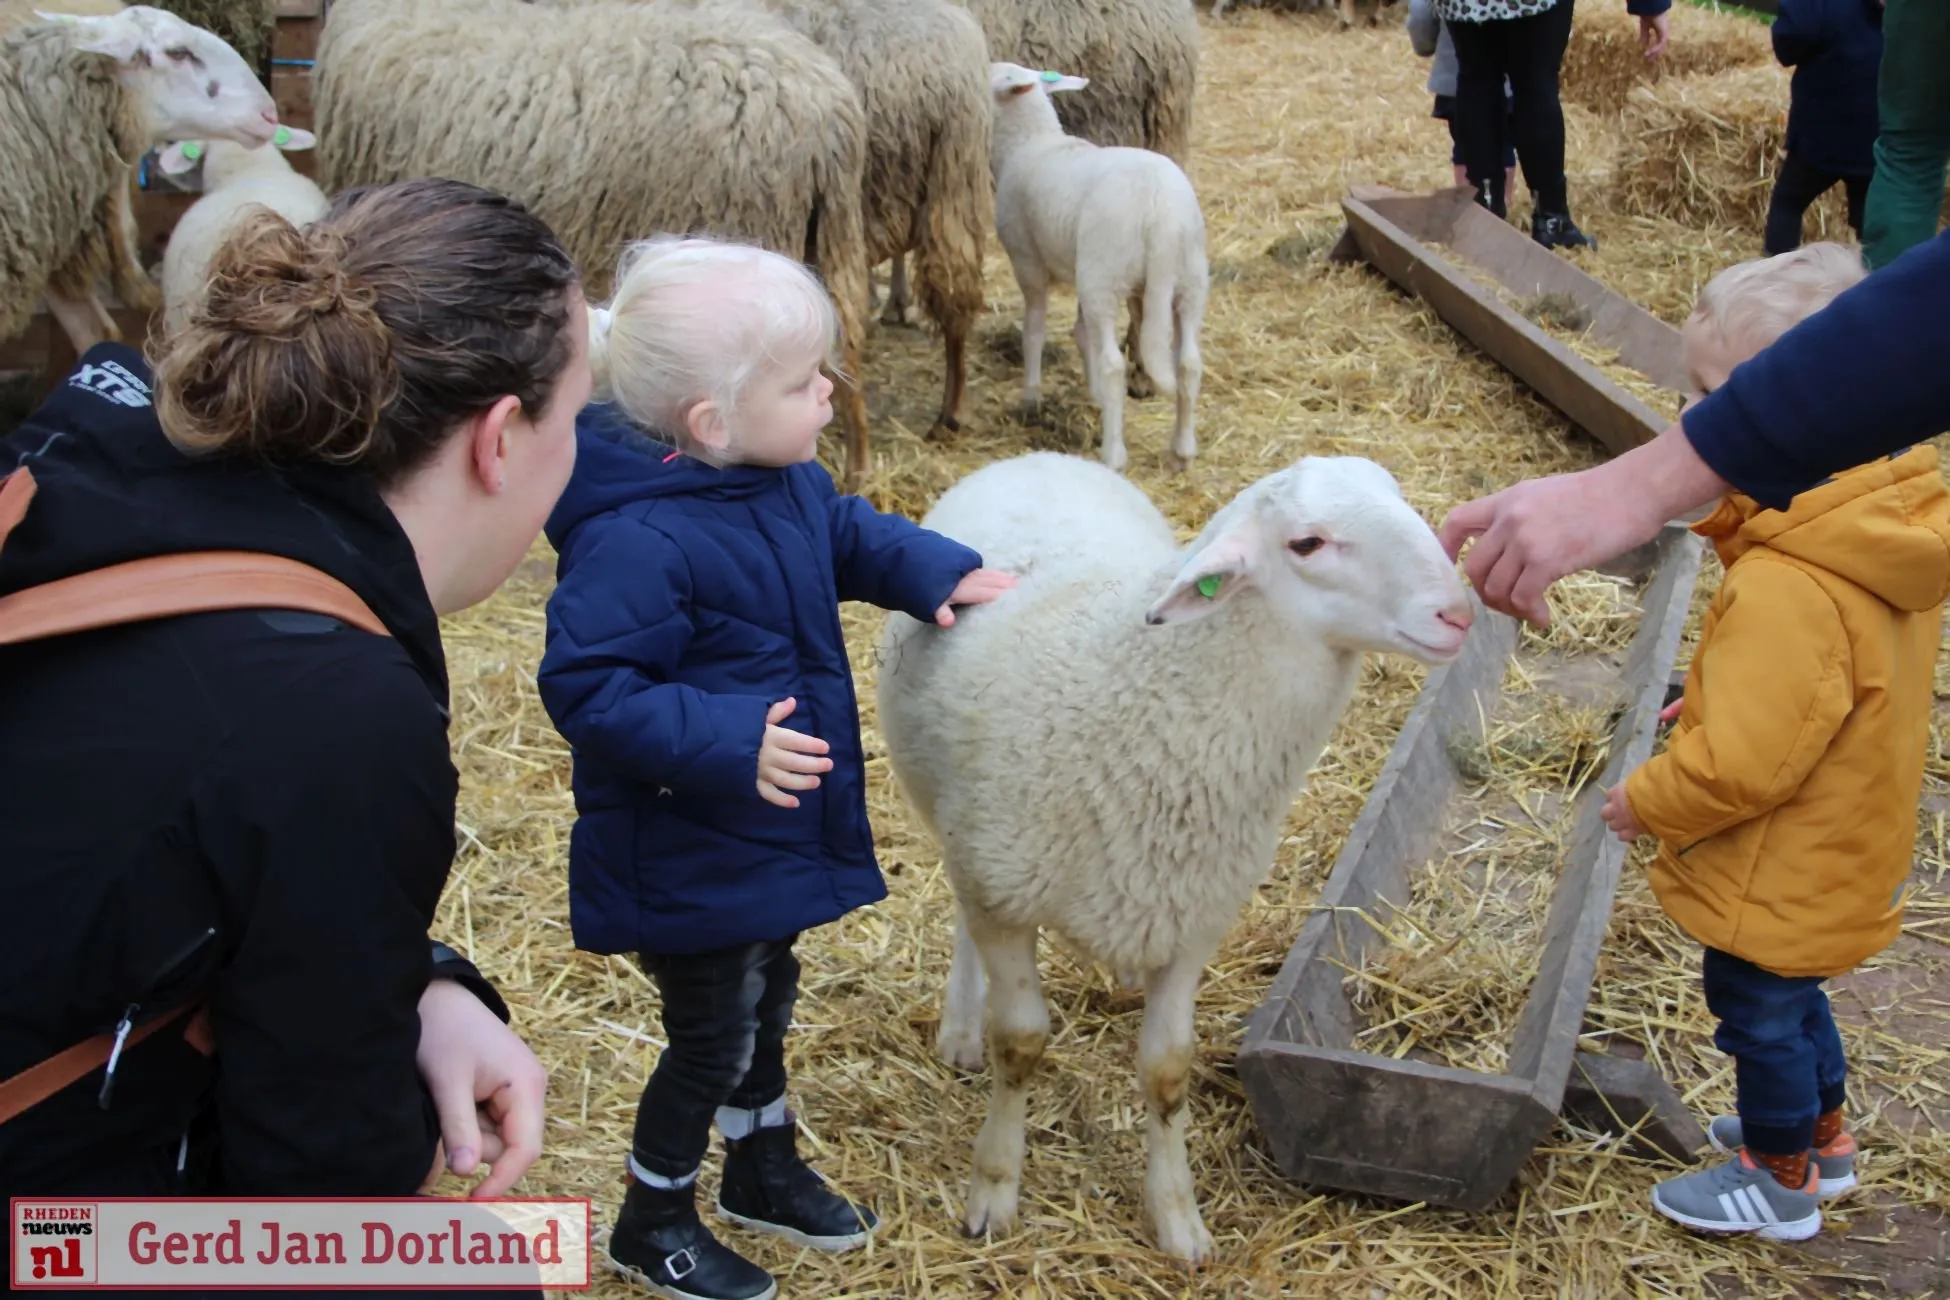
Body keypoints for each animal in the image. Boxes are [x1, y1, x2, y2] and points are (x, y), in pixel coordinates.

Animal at [877, 450, 1466, 1262]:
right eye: (1307, 543)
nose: (1460, 613)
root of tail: (1039, 456)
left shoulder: (1194, 918)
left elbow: (1167, 1072)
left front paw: (1179, 1218)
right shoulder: (1003, 891)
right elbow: (1021, 1045)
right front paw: (994, 1189)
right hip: (958, 828)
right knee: (963, 918)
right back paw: (962, 1028)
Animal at [990, 60, 1201, 475]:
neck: (1029, 142)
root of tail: (1160, 211)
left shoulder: (1027, 262)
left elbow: (1034, 329)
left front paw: (1031, 396)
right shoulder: (1083, 269)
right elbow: (1081, 332)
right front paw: (1094, 396)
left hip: (1104, 275)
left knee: (1114, 365)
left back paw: (1113, 454)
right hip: (1187, 280)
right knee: (1187, 363)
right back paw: (1182, 450)